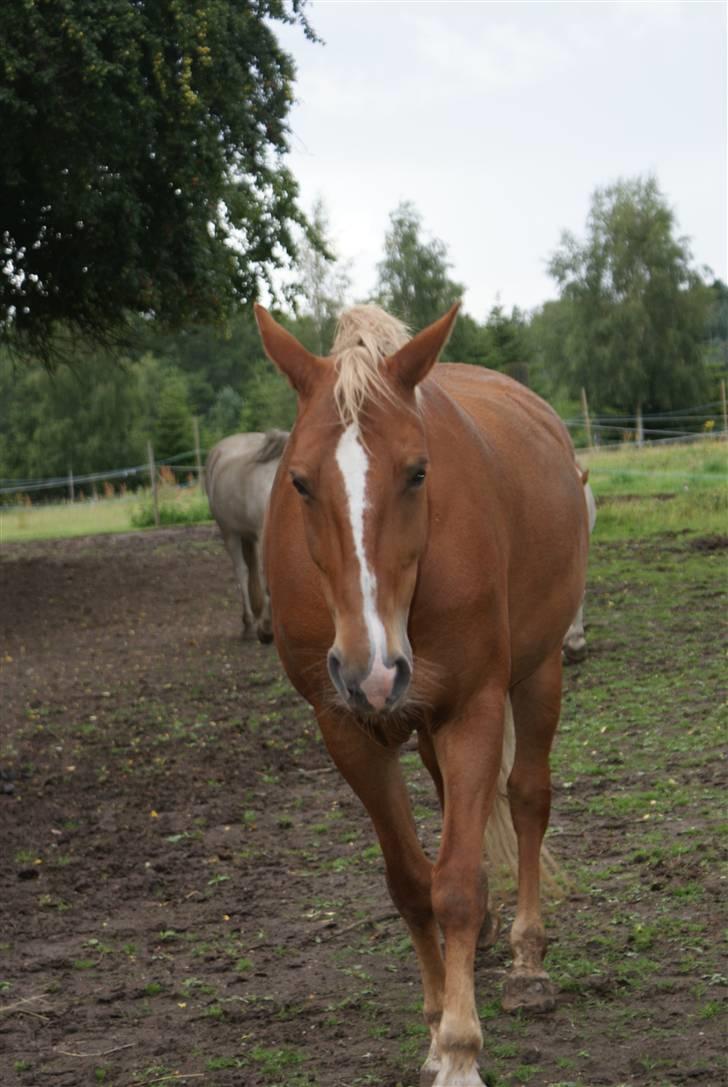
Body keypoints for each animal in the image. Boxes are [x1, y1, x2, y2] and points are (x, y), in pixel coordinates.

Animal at [254, 302, 591, 1087]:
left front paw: (463, 1050)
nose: (370, 670)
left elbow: (456, 881)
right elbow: (412, 882)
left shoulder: (472, 707)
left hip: (536, 674)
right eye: (300, 482)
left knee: (526, 798)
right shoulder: (345, 730)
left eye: (417, 472)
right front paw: (437, 1028)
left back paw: (527, 959)